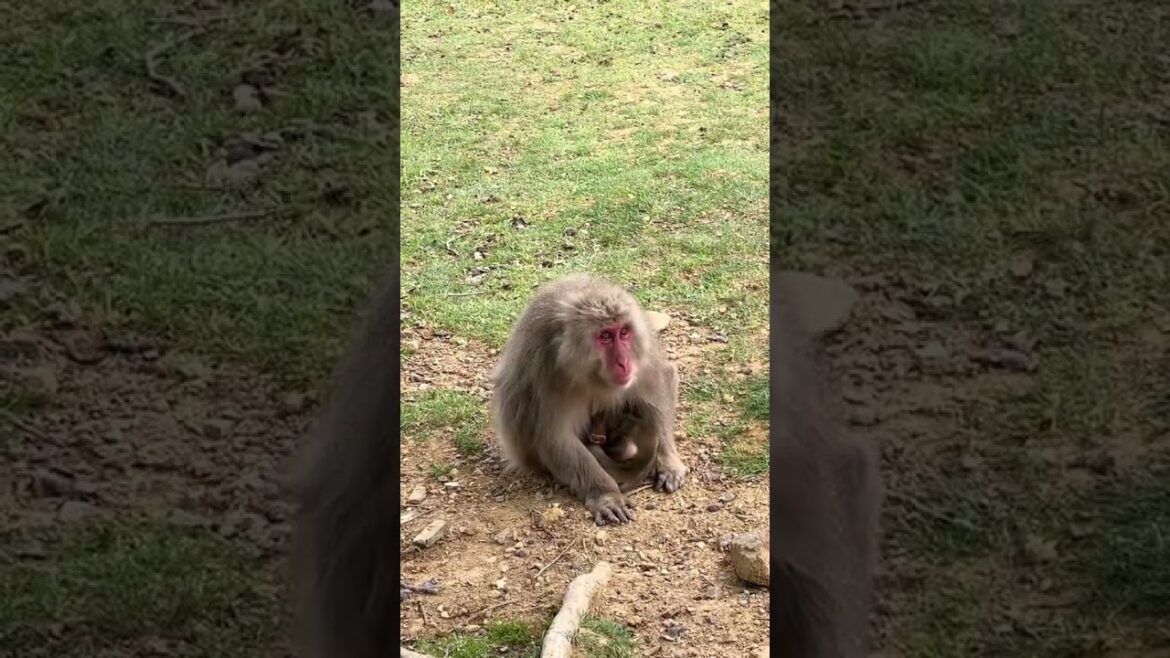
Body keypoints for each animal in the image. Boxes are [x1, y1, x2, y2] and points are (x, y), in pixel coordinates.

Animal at [491, 273, 688, 525]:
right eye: (605, 336)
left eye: (624, 332)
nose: (623, 362)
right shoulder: (549, 372)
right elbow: (555, 438)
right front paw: (606, 494)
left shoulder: (641, 357)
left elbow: (660, 385)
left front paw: (668, 461)